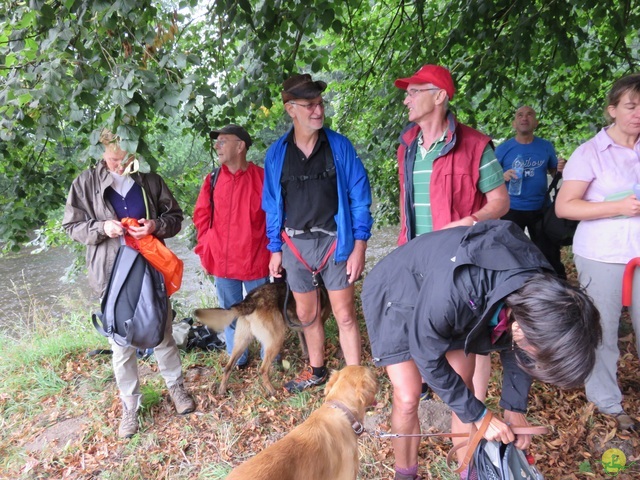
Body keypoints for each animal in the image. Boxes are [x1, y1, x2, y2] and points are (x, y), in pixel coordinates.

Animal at [194, 280, 330, 396]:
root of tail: (251, 299)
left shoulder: (302, 330)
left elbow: (305, 347)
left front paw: (307, 359)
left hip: (241, 342)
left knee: (228, 367)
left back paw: (222, 390)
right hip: (276, 341)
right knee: (263, 370)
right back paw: (272, 391)